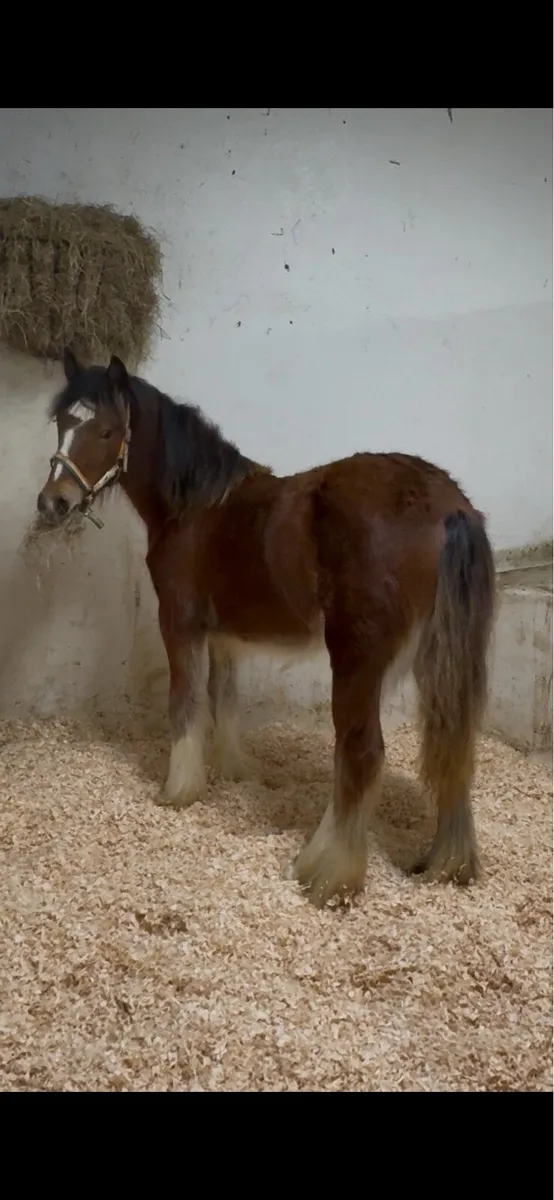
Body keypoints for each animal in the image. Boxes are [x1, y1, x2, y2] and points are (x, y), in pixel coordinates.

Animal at [35, 348, 496, 908]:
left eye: (106, 431)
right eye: (62, 423)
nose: (52, 503)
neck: (197, 507)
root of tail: (448, 506)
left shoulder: (180, 622)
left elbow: (184, 702)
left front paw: (178, 790)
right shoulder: (225, 637)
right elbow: (224, 698)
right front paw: (232, 771)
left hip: (357, 659)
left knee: (362, 754)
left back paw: (326, 874)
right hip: (439, 661)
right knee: (452, 747)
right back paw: (447, 863)